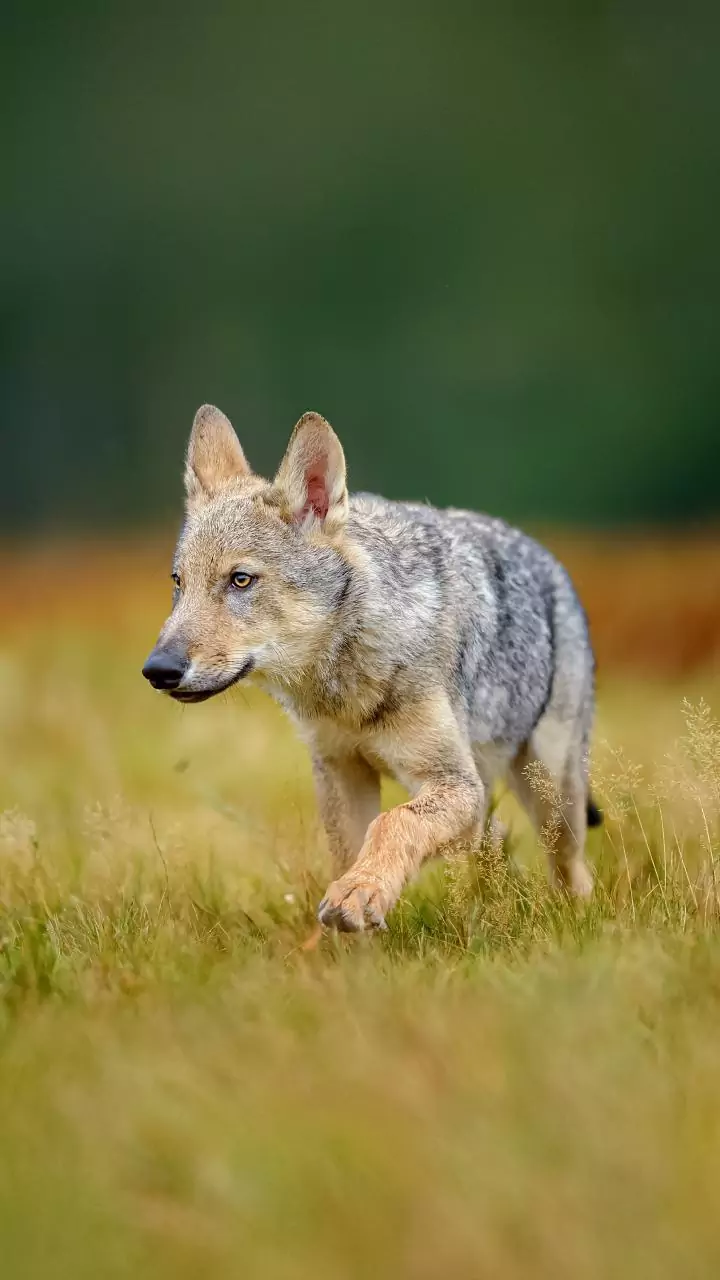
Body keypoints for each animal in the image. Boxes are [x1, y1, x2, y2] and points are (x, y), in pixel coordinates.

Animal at [143, 405, 600, 931]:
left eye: (240, 580)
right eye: (179, 582)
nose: (157, 669)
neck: (345, 687)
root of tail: (547, 558)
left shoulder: (455, 784)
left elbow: (393, 823)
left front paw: (360, 893)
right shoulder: (342, 772)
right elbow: (349, 851)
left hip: (550, 796)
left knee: (570, 870)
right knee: (493, 843)